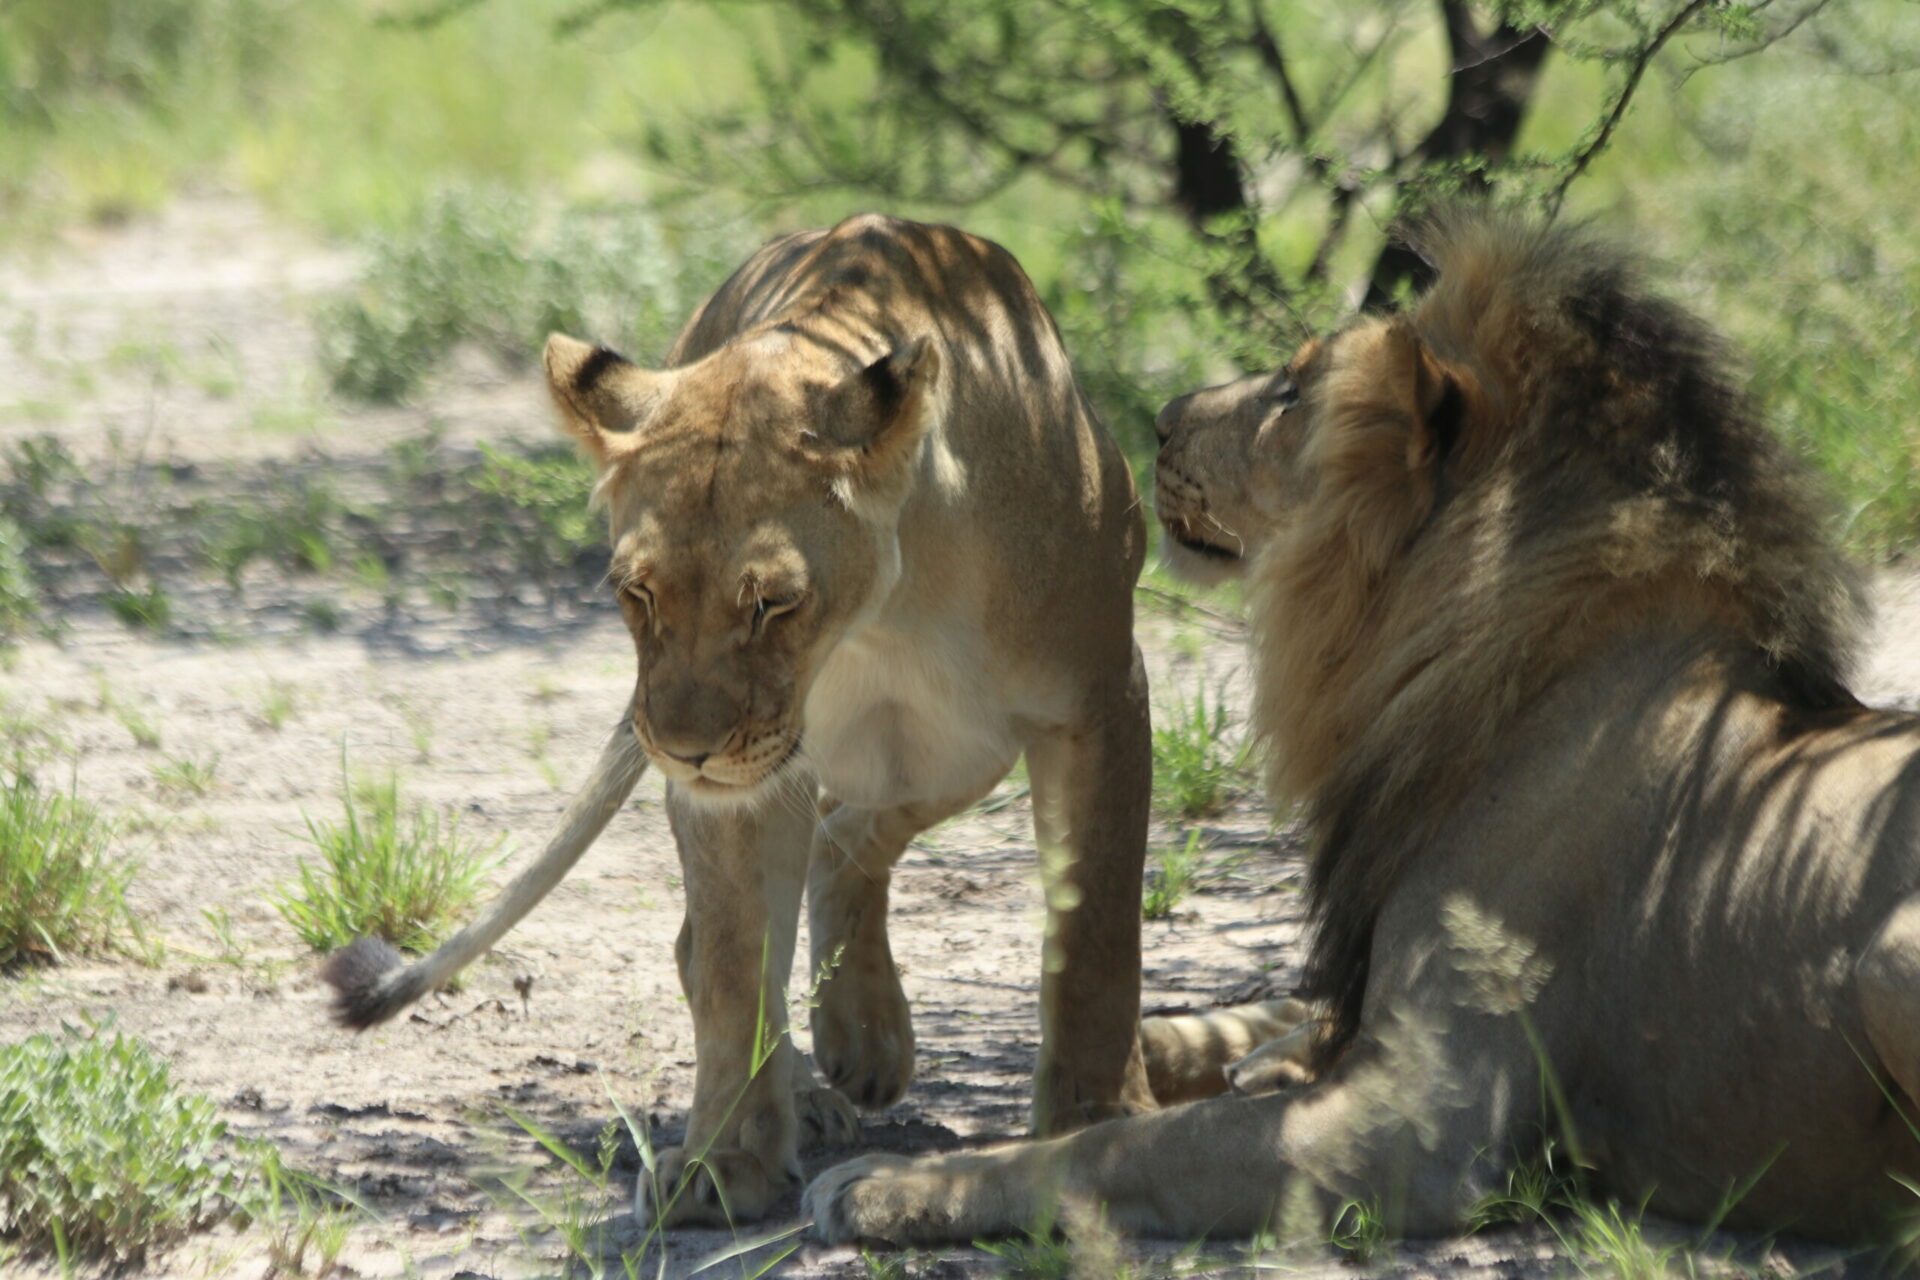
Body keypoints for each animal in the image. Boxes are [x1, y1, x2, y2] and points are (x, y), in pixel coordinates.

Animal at [318, 214, 1152, 1228]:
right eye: (636, 591)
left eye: (772, 602)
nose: (683, 751)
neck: (881, 613)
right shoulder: (747, 779)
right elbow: (729, 964)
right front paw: (727, 1161)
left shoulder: (1097, 700)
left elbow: (1098, 924)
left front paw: (1097, 1120)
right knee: (785, 875)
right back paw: (834, 1076)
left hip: (962, 750)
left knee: (852, 832)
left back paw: (863, 1039)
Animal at [802, 214, 1920, 1243]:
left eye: (1295, 393)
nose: (1158, 418)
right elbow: (1251, 1015)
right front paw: (1202, 1050)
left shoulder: (1419, 1122)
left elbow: (1122, 1144)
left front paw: (887, 1186)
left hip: (1890, 954)